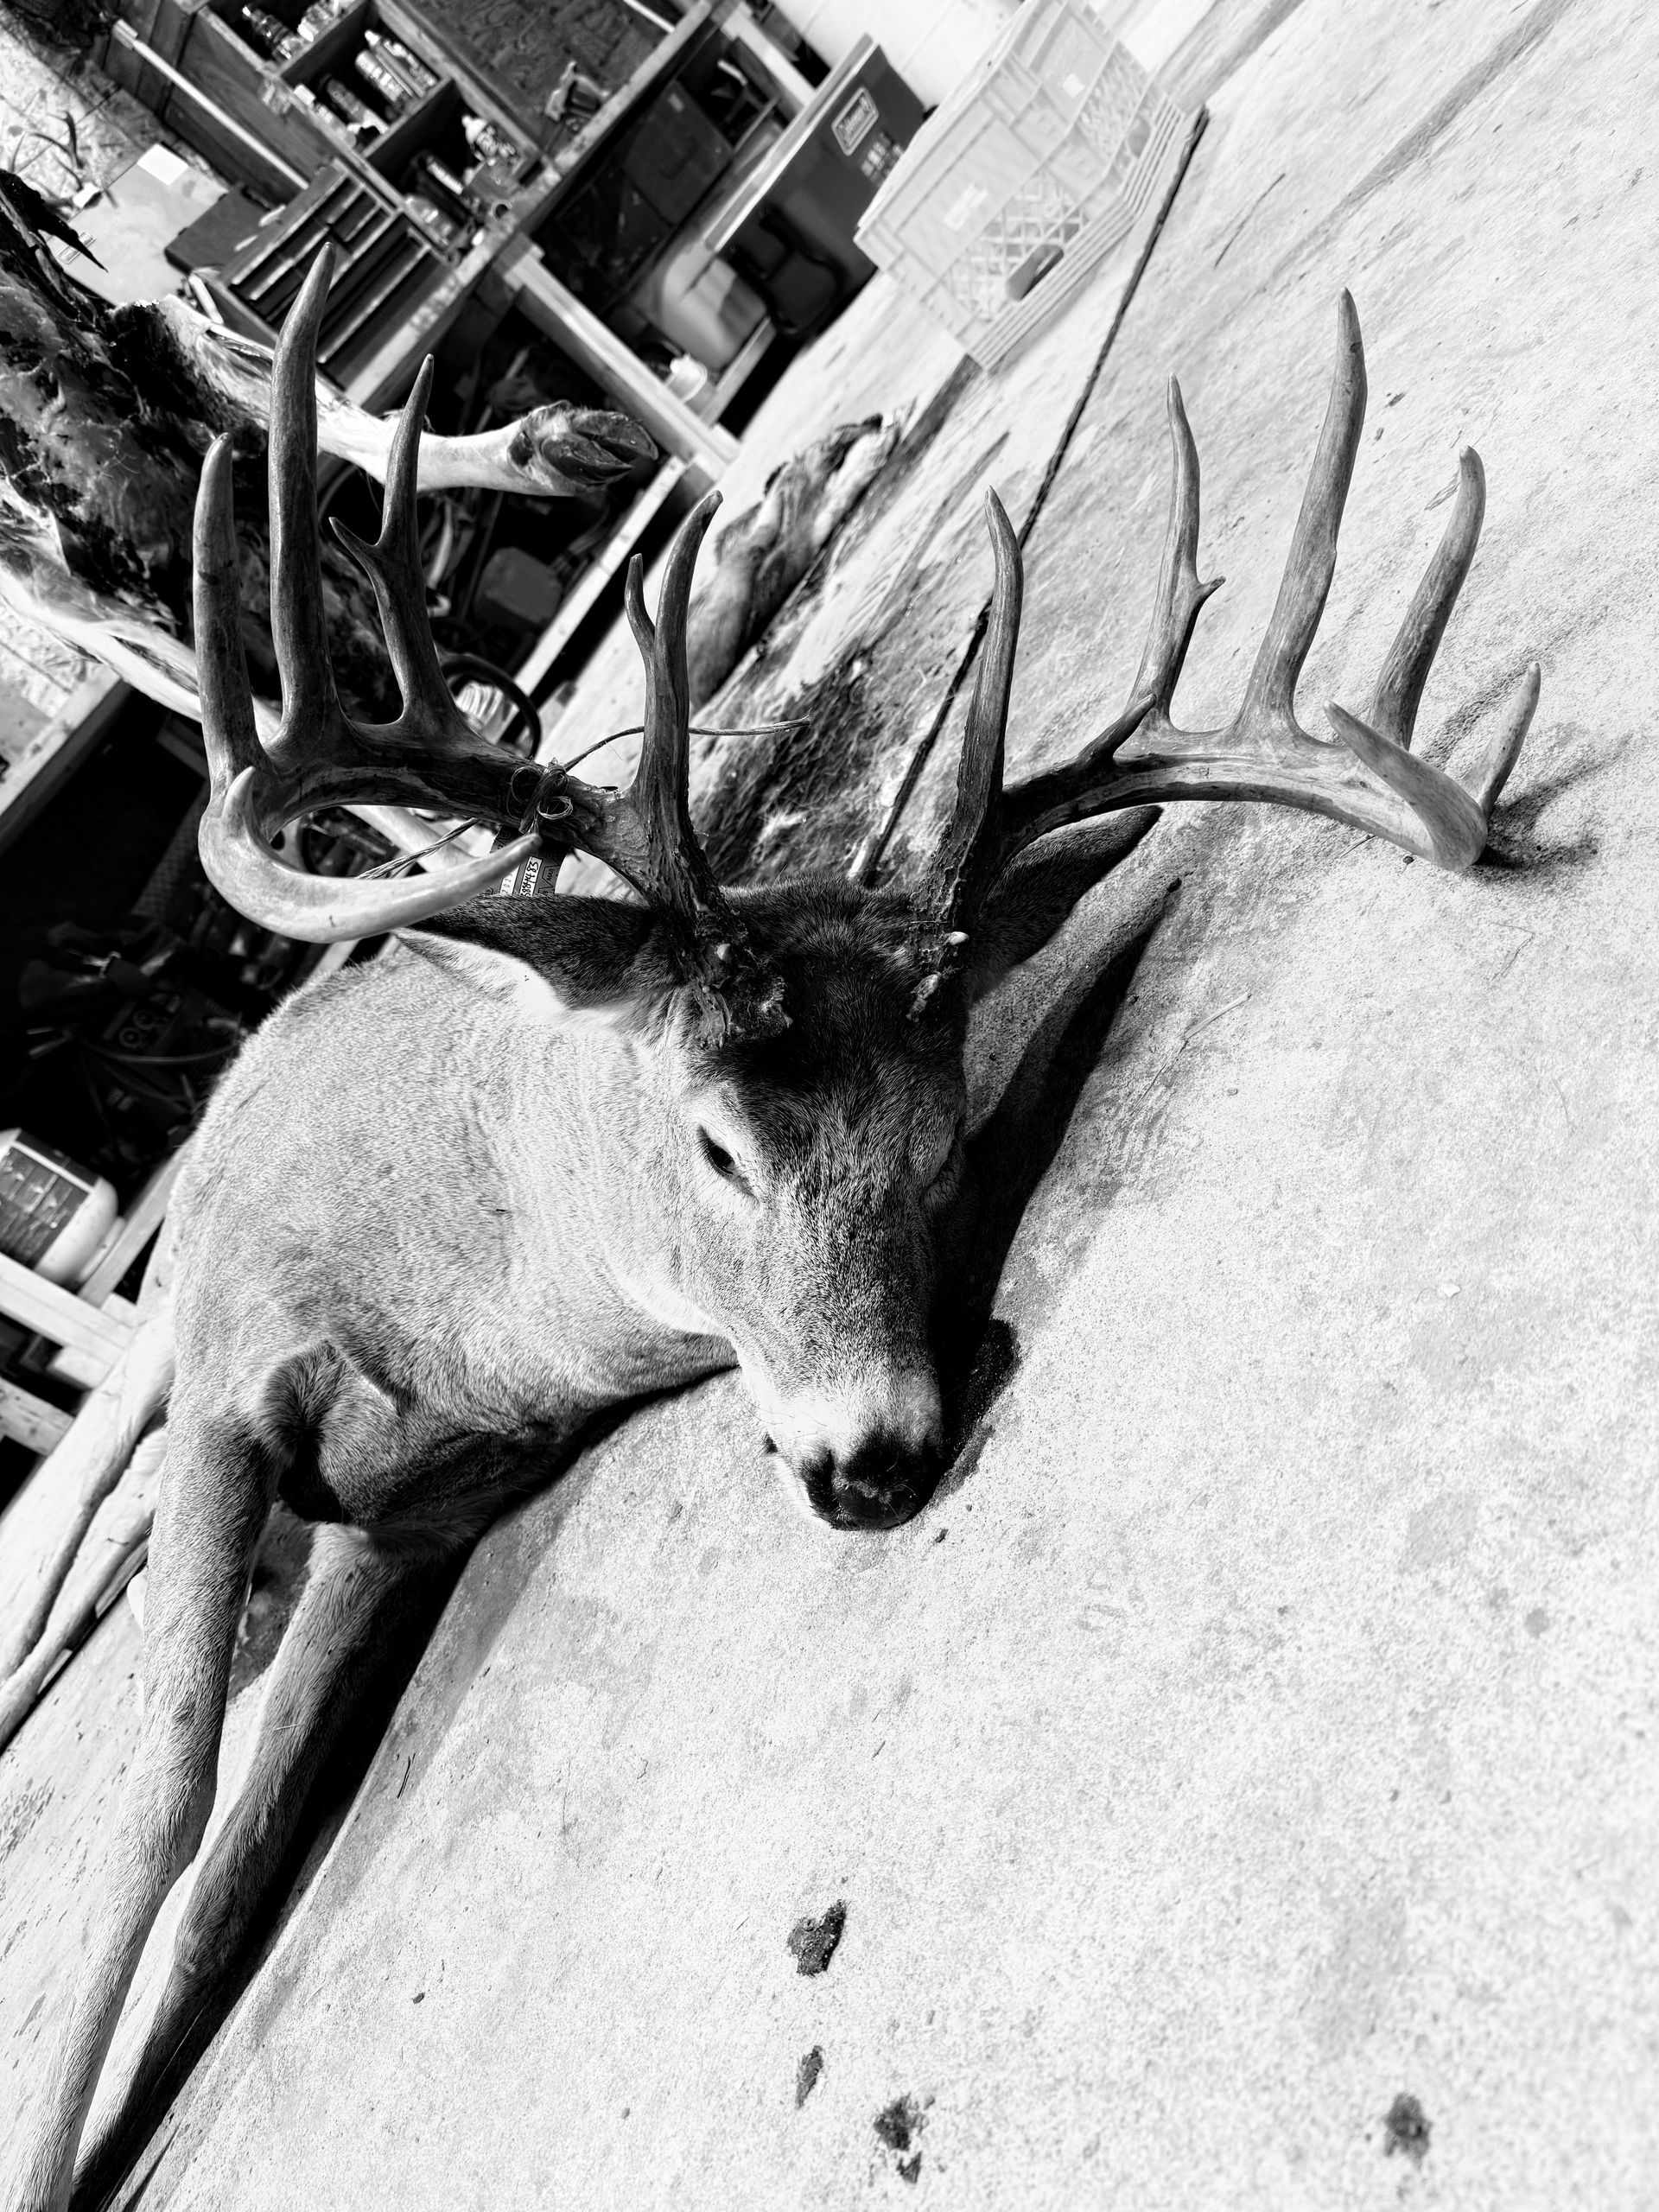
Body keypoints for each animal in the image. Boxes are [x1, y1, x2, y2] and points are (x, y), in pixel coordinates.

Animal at [4, 246, 1539, 2212]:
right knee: (71, 1522)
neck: (491, 1298)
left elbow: (224, 1872)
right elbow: (159, 1802)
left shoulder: (429, 1506)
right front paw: (45, 2149)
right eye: (721, 1142)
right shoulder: (223, 1363)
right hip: (153, 1337)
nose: (879, 1459)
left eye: (944, 1145)